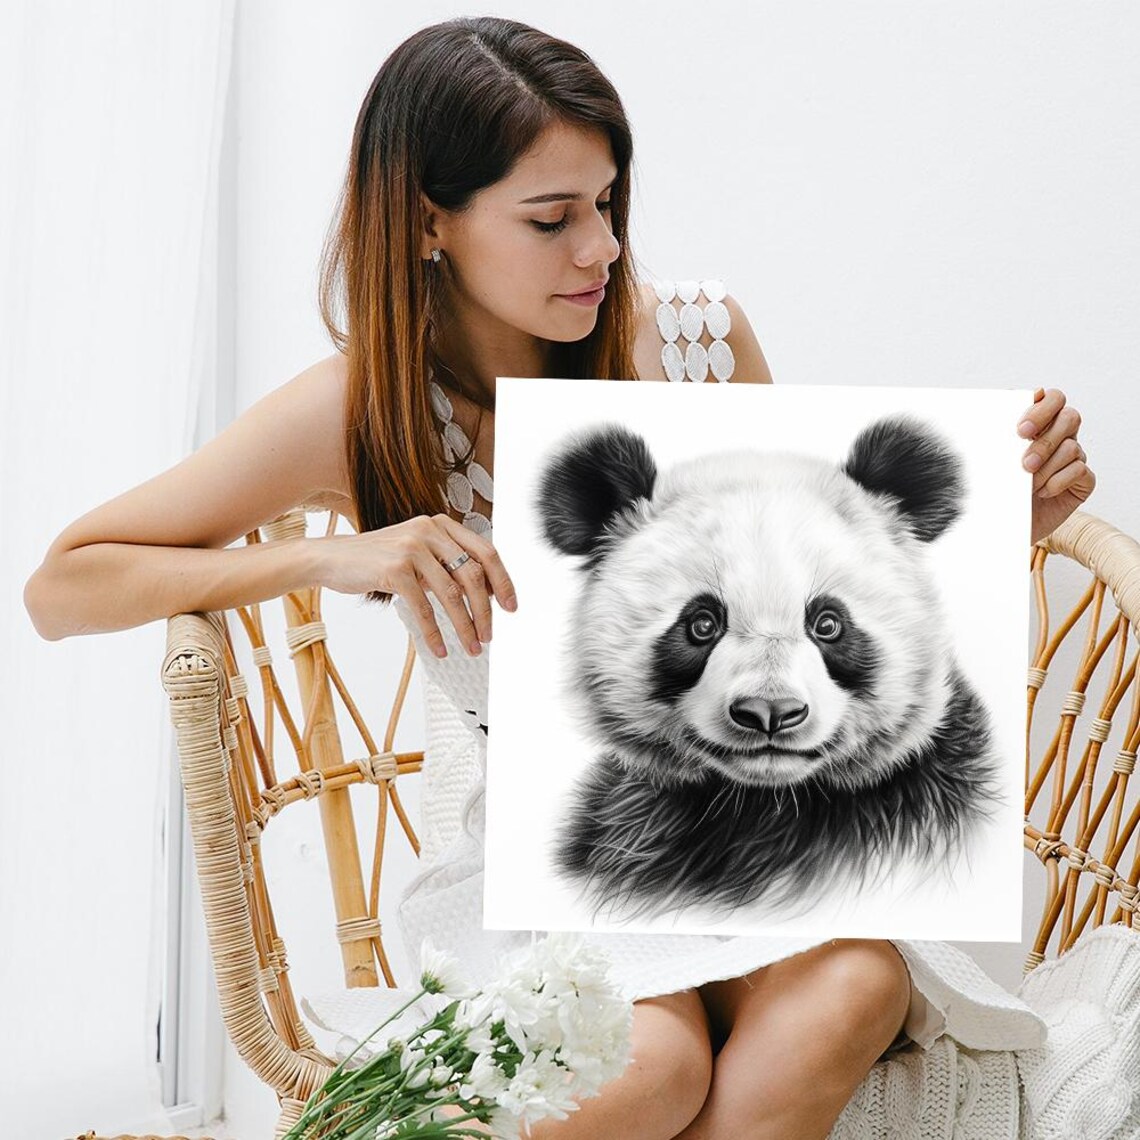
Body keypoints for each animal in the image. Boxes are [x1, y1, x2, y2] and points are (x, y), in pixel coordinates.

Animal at [535, 415, 1003, 924]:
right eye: (702, 624)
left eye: (828, 623)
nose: (770, 712)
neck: (766, 804)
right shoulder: (629, 824)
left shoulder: (924, 804)